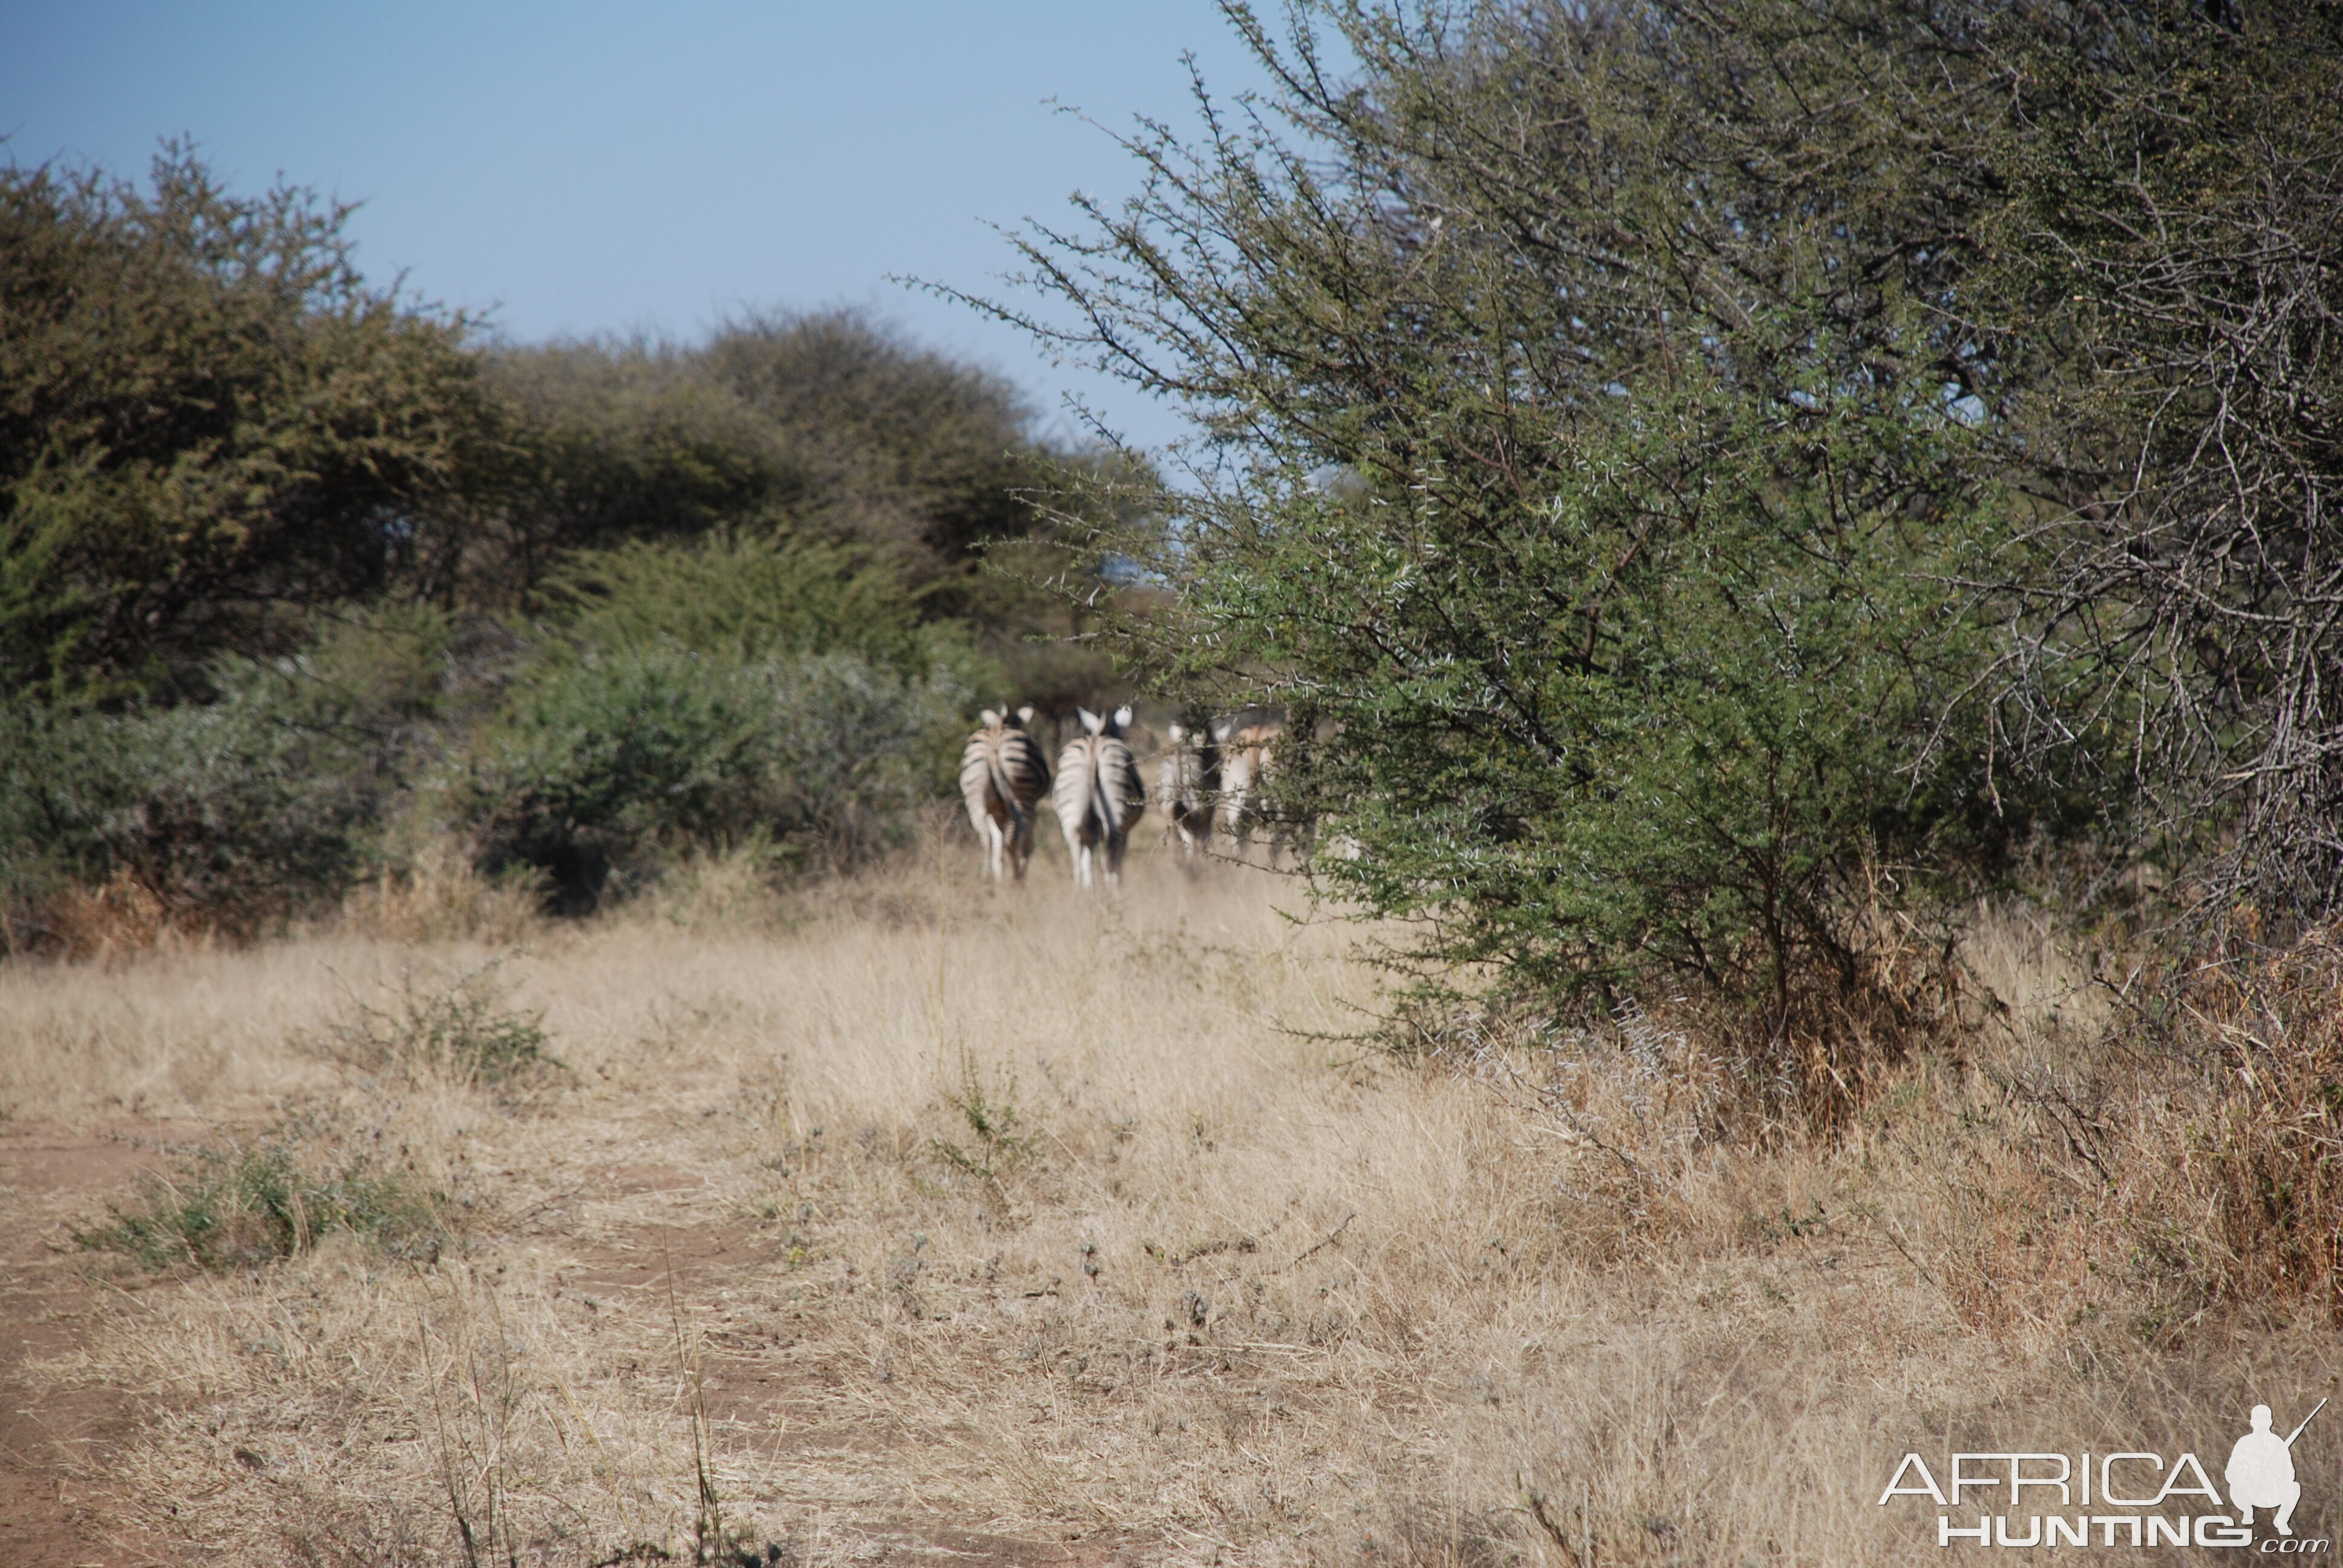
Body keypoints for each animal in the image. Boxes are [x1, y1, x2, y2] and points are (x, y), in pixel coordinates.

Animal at [960, 708, 1054, 881]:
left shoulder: (996, 812)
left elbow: (998, 843)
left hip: (974, 795)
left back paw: (987, 879)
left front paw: (999, 876)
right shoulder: (1031, 810)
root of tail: (995, 736)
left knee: (986, 838)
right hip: (1022, 796)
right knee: (1012, 840)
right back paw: (1016, 878)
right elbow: (1027, 844)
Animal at [1059, 708, 1148, 886]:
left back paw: (1079, 892)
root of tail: (1093, 747)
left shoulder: (1090, 833)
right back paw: (1113, 891)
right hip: (1116, 814)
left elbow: (1087, 864)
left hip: (1071, 815)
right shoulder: (1125, 833)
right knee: (1110, 859)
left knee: (1077, 858)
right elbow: (1114, 863)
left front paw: (1090, 889)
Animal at [1157, 722, 1218, 858]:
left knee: (1176, 844)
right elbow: (1205, 839)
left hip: (1171, 813)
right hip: (1195, 811)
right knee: (1194, 842)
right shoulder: (1208, 814)